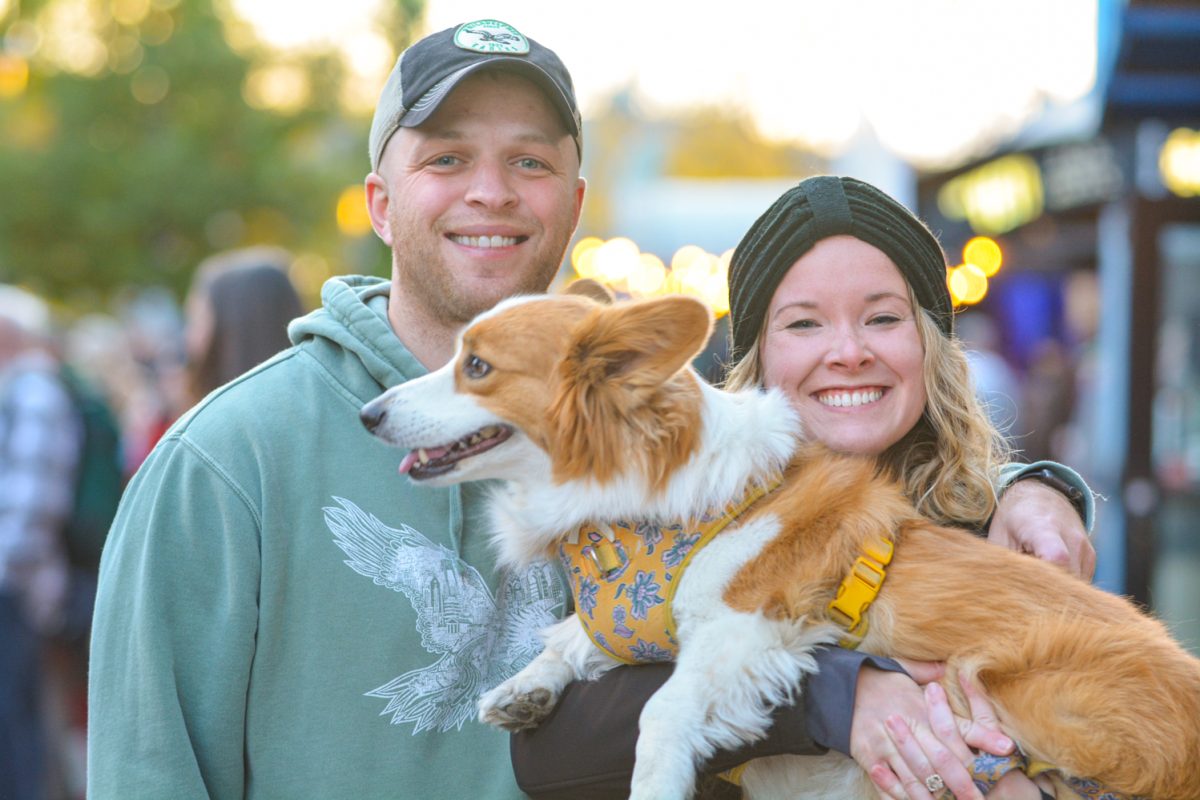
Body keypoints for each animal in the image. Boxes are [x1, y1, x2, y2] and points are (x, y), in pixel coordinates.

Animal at [360, 289, 1200, 800]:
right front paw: (525, 688)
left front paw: (653, 778)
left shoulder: (746, 629)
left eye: (476, 366)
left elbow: (660, 710)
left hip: (1025, 690)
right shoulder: (635, 622)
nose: (370, 414)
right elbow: (574, 635)